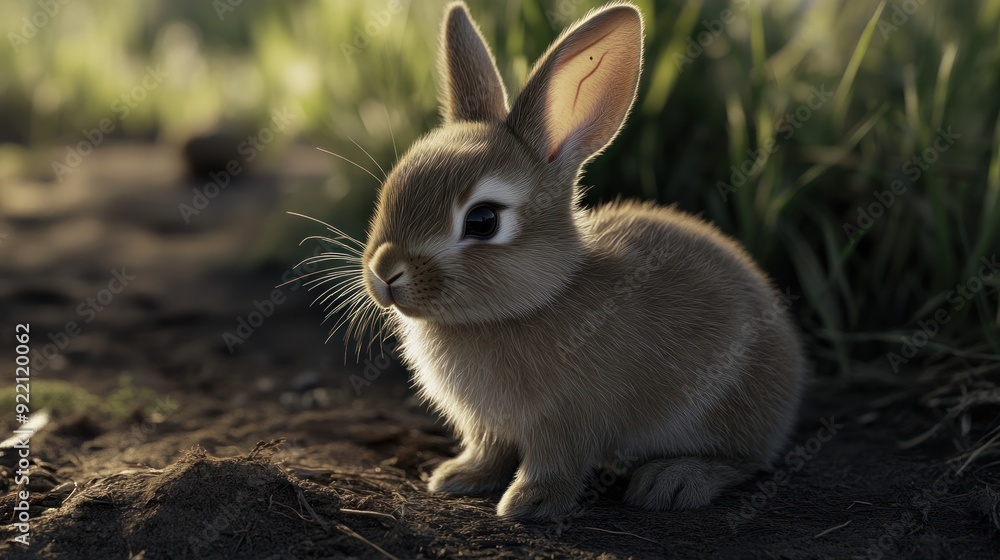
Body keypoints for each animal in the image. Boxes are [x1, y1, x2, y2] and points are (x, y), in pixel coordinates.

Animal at [354, 1, 806, 519]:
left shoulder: (566, 423)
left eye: (483, 220)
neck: (533, 302)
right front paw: (457, 477)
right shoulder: (488, 427)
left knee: (745, 460)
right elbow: (489, 450)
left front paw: (527, 503)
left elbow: (555, 464)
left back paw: (672, 482)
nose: (385, 273)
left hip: (725, 410)